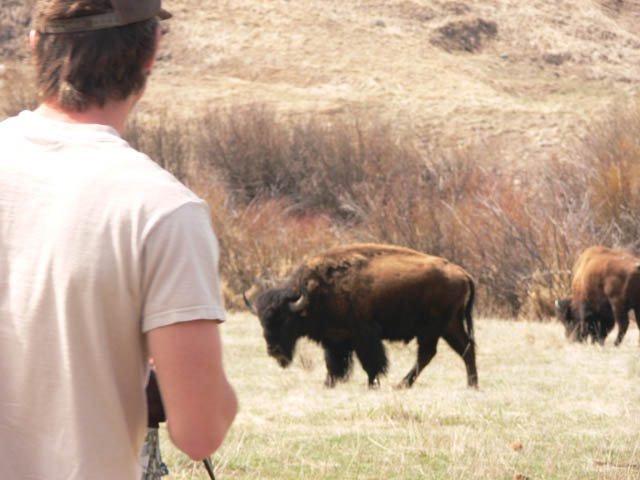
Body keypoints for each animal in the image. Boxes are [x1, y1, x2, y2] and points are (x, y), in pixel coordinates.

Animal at [245, 243, 478, 389]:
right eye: (262, 322)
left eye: (285, 320)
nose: (274, 351)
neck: (313, 293)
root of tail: (463, 274)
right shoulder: (335, 339)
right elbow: (334, 364)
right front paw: (329, 383)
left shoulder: (364, 334)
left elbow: (371, 362)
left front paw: (372, 384)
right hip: (450, 326)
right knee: (465, 349)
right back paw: (472, 385)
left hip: (433, 328)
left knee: (429, 354)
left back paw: (402, 384)